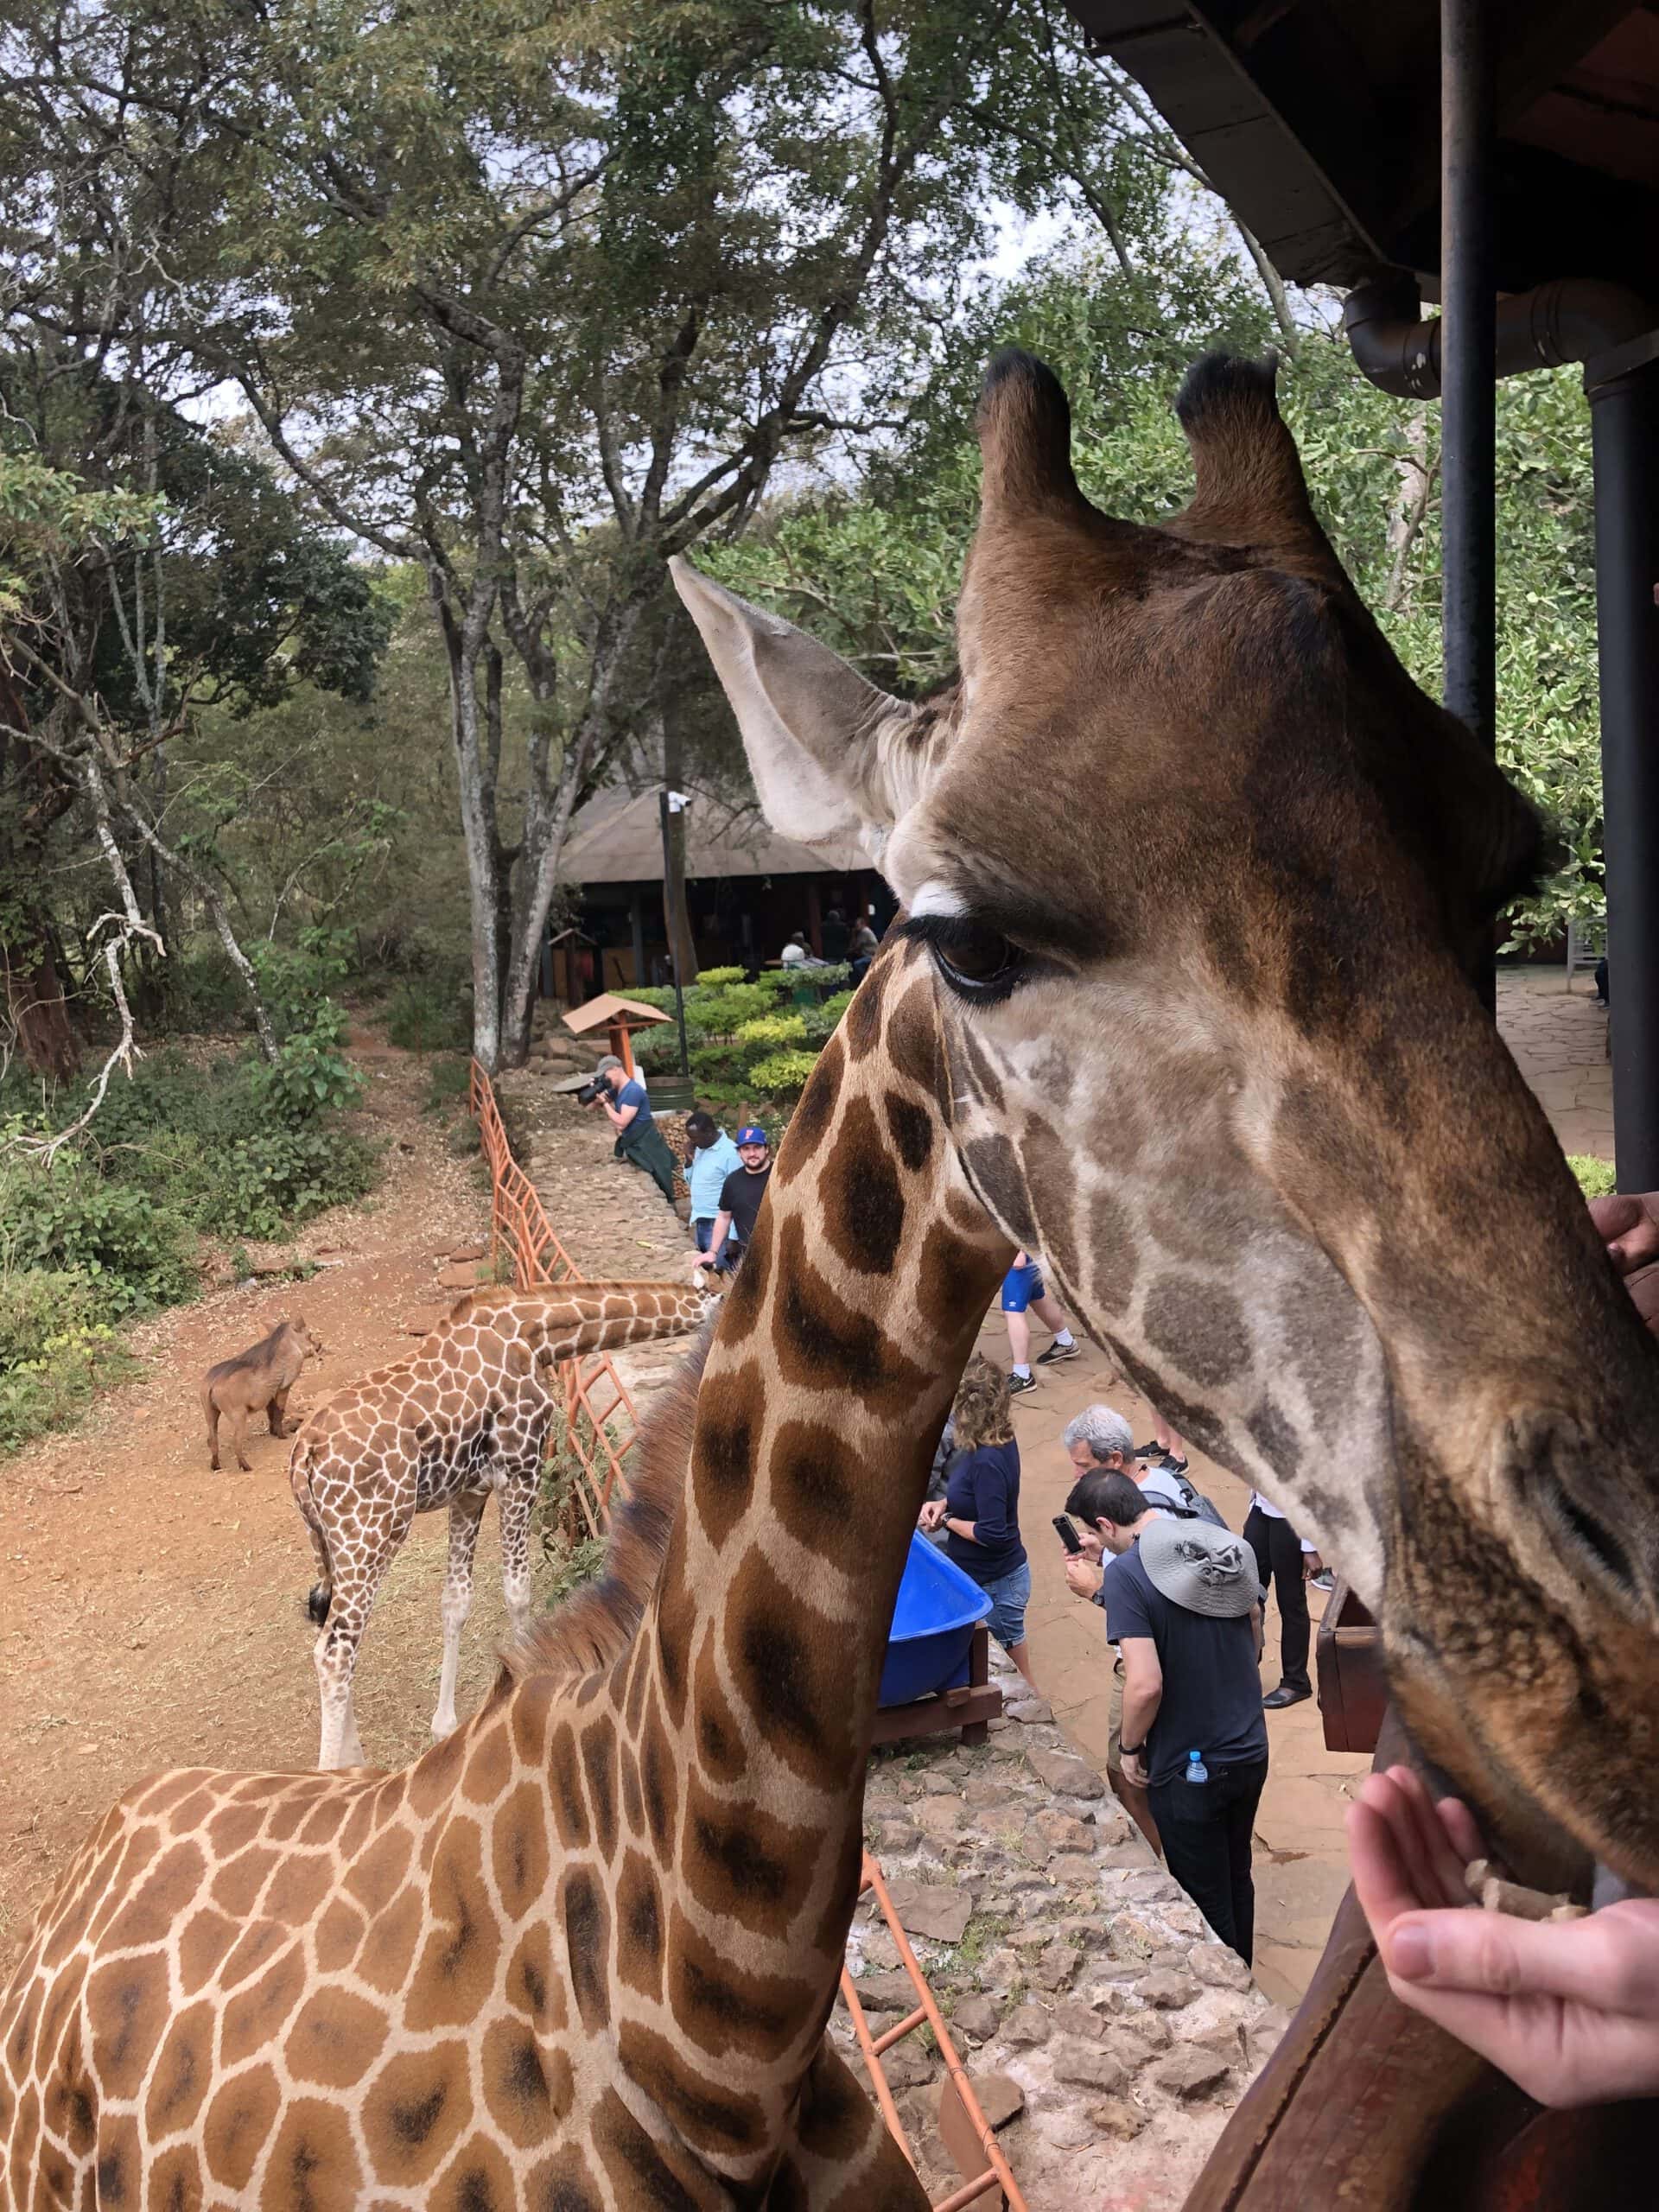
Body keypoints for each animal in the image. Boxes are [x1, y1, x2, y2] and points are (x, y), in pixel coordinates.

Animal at [296, 1274, 712, 1770]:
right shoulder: (521, 1469)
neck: (534, 1333)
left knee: (327, 1630)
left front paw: (444, 1725)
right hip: (371, 1532)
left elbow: (456, 1600)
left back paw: (354, 1758)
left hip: (329, 1543)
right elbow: (517, 1589)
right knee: (335, 1650)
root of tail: (303, 1456)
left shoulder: (470, 1492)